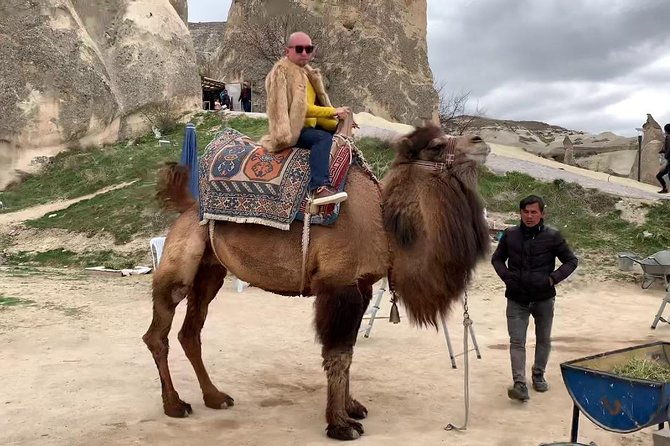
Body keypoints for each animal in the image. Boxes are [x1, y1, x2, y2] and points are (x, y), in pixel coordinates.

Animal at [143, 124, 491, 441]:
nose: (480, 141)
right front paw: (341, 425)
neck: (383, 224)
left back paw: (215, 397)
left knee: (190, 332)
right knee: (158, 332)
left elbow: (349, 350)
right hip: (181, 261)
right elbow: (338, 354)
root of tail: (189, 205)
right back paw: (175, 404)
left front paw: (352, 408)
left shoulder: (362, 286)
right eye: (436, 146)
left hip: (210, 271)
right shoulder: (339, 283)